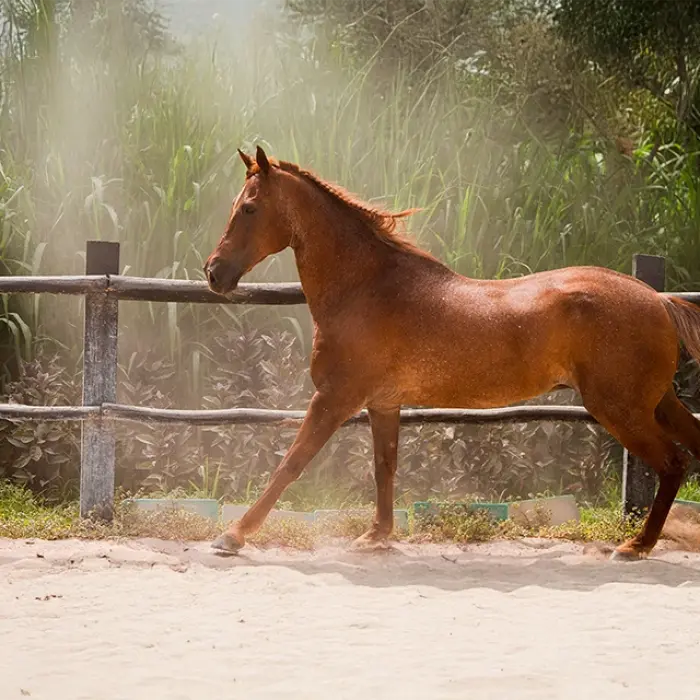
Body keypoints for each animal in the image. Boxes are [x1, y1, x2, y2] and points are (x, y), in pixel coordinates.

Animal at [204, 145, 700, 560]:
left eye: (249, 208)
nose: (213, 272)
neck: (366, 288)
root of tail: (658, 300)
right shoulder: (382, 403)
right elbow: (385, 466)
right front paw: (376, 536)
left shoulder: (334, 398)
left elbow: (291, 463)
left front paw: (232, 536)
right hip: (657, 403)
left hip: (621, 408)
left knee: (673, 463)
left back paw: (635, 546)